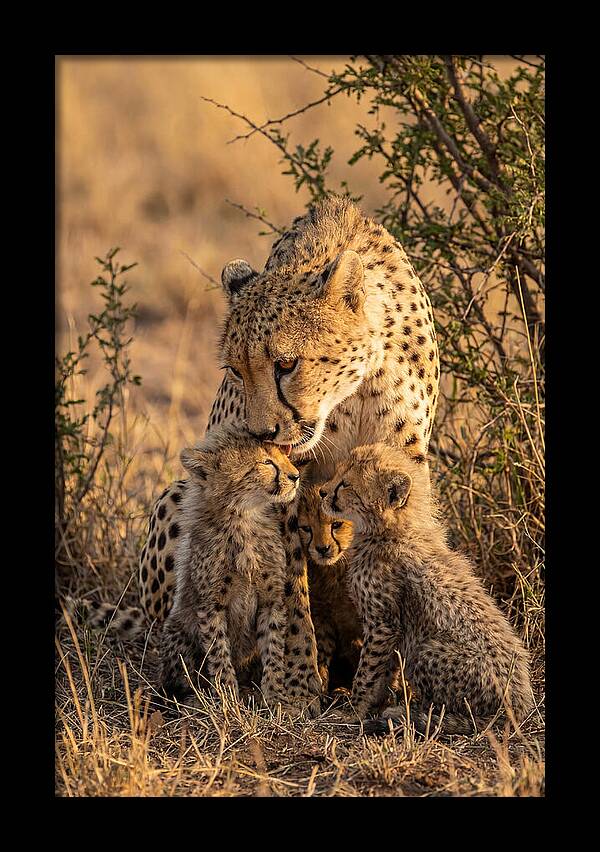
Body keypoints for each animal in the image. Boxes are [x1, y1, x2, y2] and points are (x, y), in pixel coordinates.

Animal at [158, 427, 301, 707]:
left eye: (283, 456)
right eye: (266, 462)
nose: (295, 476)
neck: (244, 519)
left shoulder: (272, 600)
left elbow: (273, 648)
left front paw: (275, 697)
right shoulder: (211, 605)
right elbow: (219, 652)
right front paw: (226, 698)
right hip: (177, 629)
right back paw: (196, 697)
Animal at [297, 484, 362, 697]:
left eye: (336, 525)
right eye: (306, 528)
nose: (322, 549)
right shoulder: (323, 615)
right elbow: (321, 651)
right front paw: (321, 687)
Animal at [320, 443, 534, 736]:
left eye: (345, 484)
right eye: (337, 474)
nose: (322, 491)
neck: (392, 530)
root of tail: (520, 705)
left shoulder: (383, 624)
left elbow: (368, 671)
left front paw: (354, 710)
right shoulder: (391, 628)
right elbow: (383, 672)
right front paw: (374, 704)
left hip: (427, 649)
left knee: (458, 713)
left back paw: (411, 714)